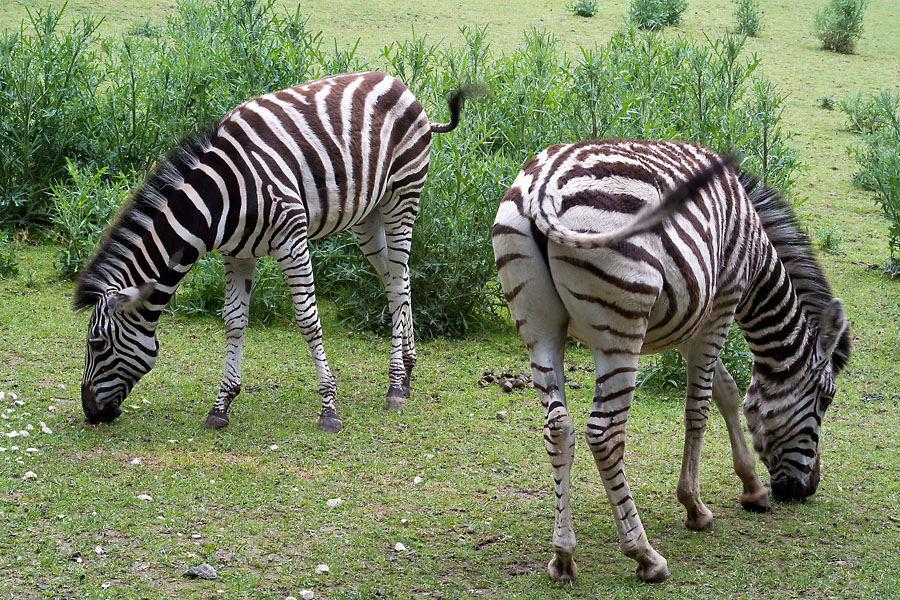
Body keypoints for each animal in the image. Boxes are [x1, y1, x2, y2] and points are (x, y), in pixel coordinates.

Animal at [74, 71, 472, 433]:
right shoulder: (236, 254)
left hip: (402, 196)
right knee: (394, 279)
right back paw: (407, 370)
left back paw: (395, 385)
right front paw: (221, 405)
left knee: (400, 279)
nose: (90, 412)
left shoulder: (291, 239)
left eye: (97, 343)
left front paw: (329, 409)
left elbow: (308, 321)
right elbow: (234, 321)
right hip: (367, 214)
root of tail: (396, 81)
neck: (218, 201)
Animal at [491, 139, 850, 582]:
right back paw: (644, 554)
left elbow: (728, 391)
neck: (754, 249)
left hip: (538, 327)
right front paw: (695, 507)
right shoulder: (721, 303)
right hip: (620, 328)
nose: (807, 489)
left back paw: (563, 556)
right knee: (604, 434)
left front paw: (752, 486)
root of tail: (541, 186)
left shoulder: (689, 317)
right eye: (825, 399)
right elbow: (699, 408)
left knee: (558, 429)